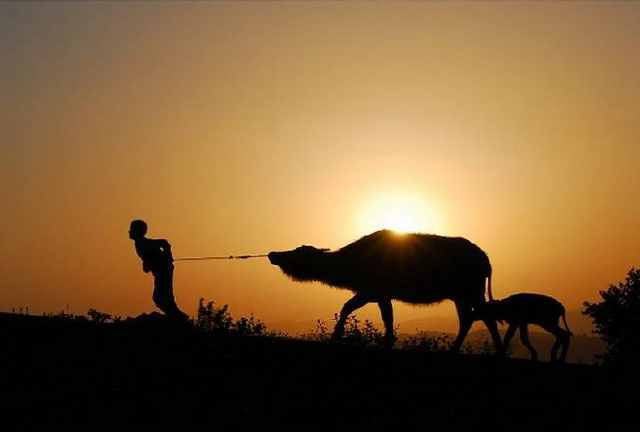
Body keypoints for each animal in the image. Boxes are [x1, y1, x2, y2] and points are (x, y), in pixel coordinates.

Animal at [268, 230, 502, 352]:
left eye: (298, 252)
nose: (273, 254)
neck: (349, 267)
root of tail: (487, 261)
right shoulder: (375, 294)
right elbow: (370, 314)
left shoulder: (374, 292)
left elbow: (357, 311)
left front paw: (337, 336)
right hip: (459, 295)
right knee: (468, 319)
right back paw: (456, 349)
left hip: (472, 290)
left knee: (485, 317)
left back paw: (498, 350)